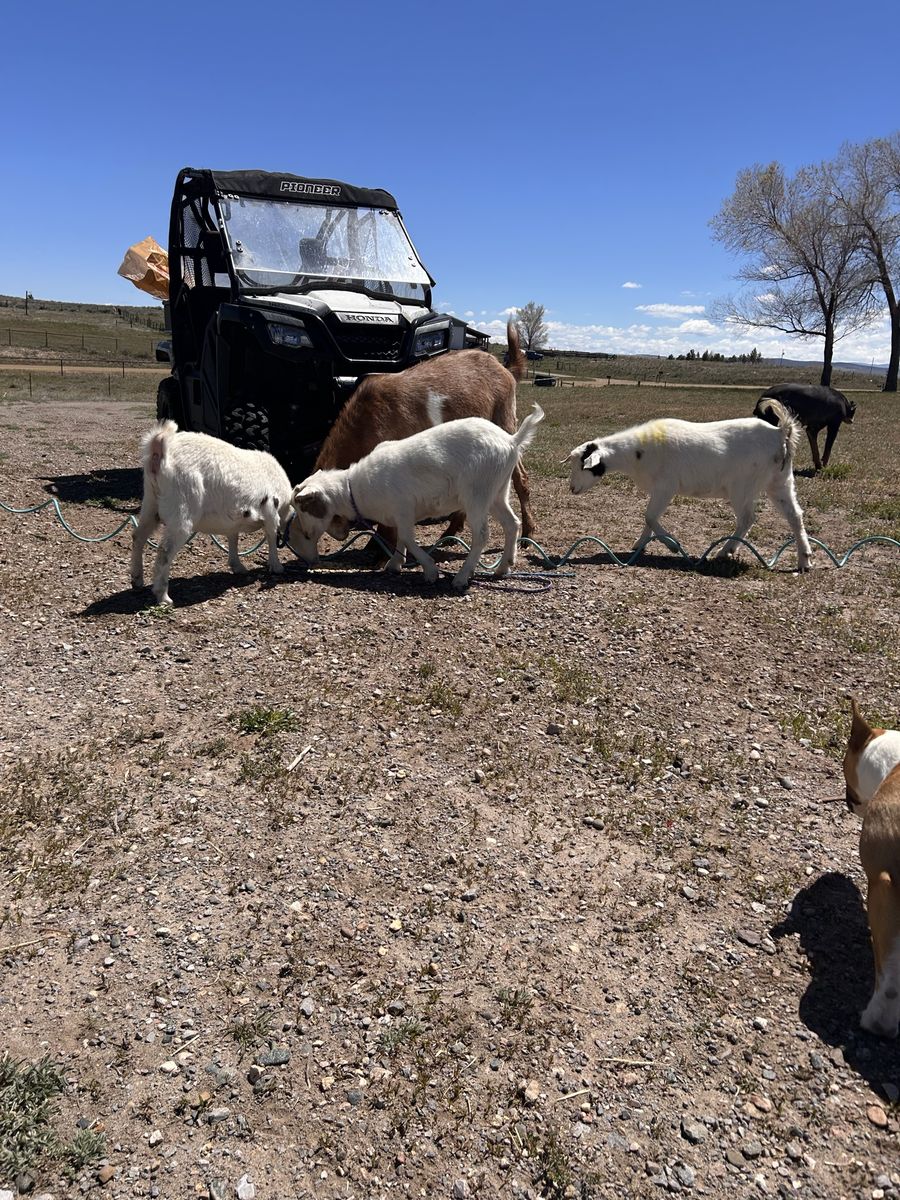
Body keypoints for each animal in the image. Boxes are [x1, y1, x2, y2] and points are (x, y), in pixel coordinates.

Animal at [130, 420, 292, 605]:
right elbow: (271, 535)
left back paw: (137, 580)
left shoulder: (234, 519)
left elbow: (233, 538)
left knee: (138, 536)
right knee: (165, 550)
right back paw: (163, 596)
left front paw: (238, 566)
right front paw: (277, 567)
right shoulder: (271, 510)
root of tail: (159, 448)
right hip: (182, 507)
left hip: (150, 501)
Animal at [288, 405, 544, 590]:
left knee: (482, 535)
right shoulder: (398, 515)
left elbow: (408, 539)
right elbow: (400, 539)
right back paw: (503, 567)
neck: (354, 489)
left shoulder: (404, 508)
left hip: (477, 493)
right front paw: (395, 564)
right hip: (498, 490)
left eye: (304, 508)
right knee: (512, 523)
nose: (307, 534)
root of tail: (511, 441)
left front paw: (430, 571)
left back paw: (462, 577)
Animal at [313, 320, 535, 543]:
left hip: (505, 421)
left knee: (520, 477)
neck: (367, 421)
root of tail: (504, 369)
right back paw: (452, 530)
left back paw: (528, 531)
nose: (339, 534)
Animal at [566, 398, 812, 572]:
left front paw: (672, 545)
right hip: (780, 481)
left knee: (748, 519)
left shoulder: (666, 486)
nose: (572, 489)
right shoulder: (658, 490)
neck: (636, 454)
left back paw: (725, 551)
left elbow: (649, 516)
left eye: (582, 466)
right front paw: (639, 544)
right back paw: (805, 560)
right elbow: (649, 518)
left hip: (742, 486)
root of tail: (781, 432)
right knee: (795, 516)